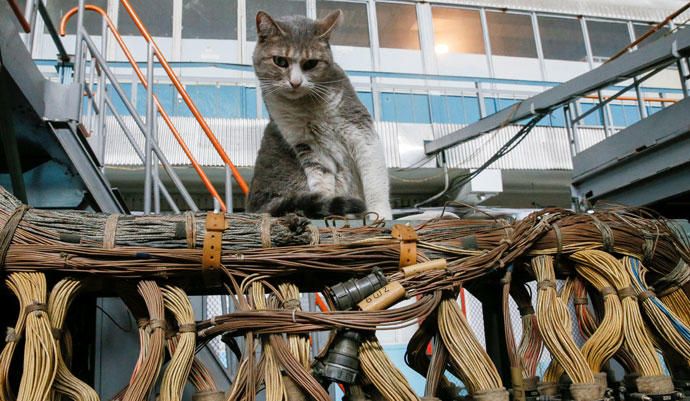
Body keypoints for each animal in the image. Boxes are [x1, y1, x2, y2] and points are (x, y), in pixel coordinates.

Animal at [247, 8, 390, 219]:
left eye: (311, 63)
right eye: (280, 61)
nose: (295, 82)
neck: (306, 106)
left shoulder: (360, 130)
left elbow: (374, 179)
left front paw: (380, 215)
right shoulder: (307, 143)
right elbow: (321, 180)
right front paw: (327, 204)